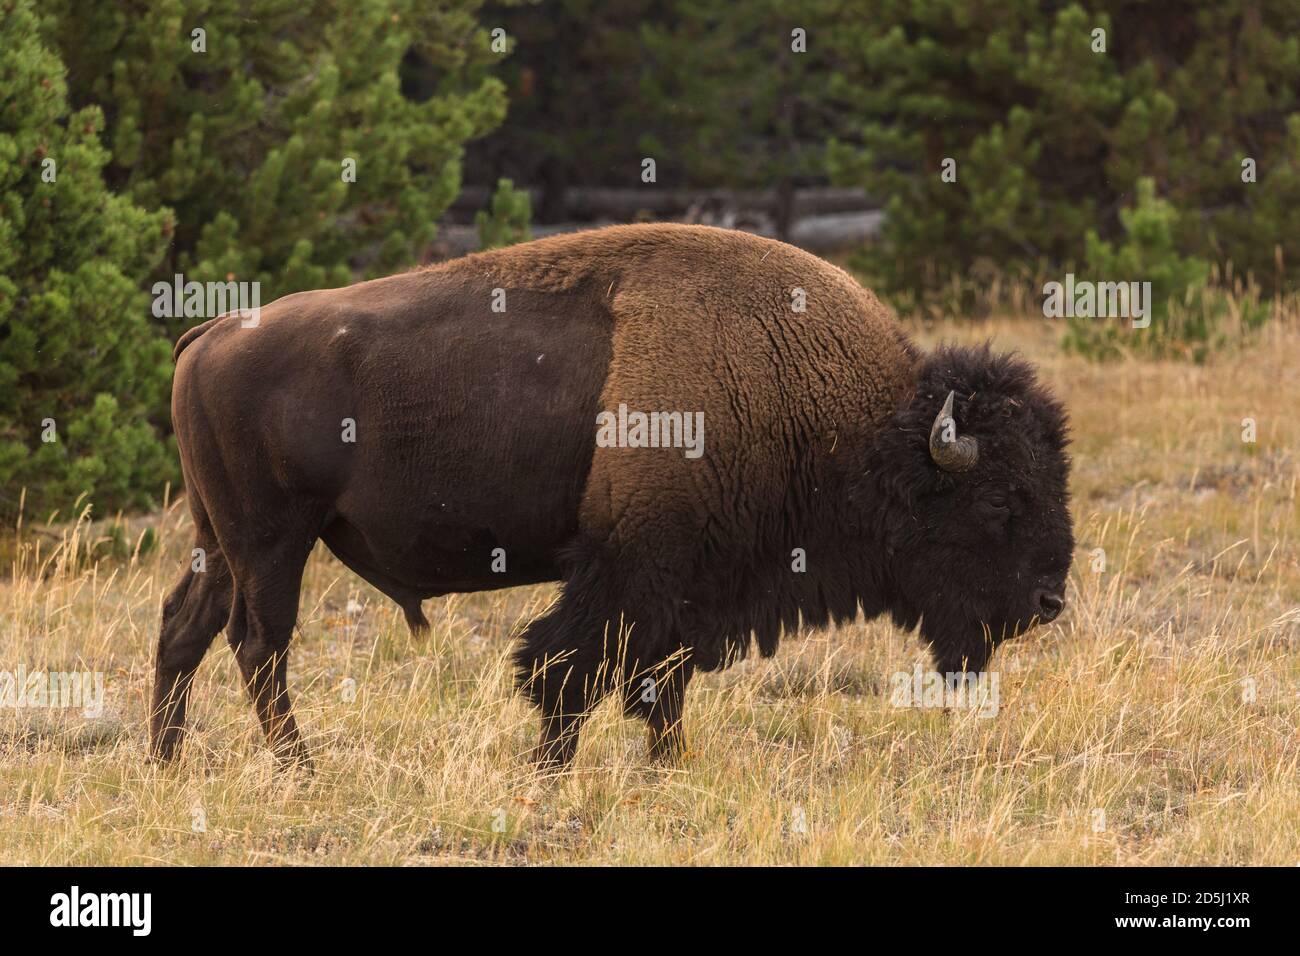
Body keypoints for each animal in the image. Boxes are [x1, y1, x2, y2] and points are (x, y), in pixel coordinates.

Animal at [152, 223, 1071, 770]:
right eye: (1001, 502)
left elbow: (660, 678)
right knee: (259, 643)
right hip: (273, 541)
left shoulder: (692, 587)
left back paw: (166, 759)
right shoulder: (632, 566)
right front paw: (551, 769)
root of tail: (209, 333)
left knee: (186, 627)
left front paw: (671, 762)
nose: (1049, 601)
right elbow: (572, 667)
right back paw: (297, 767)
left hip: (220, 541)